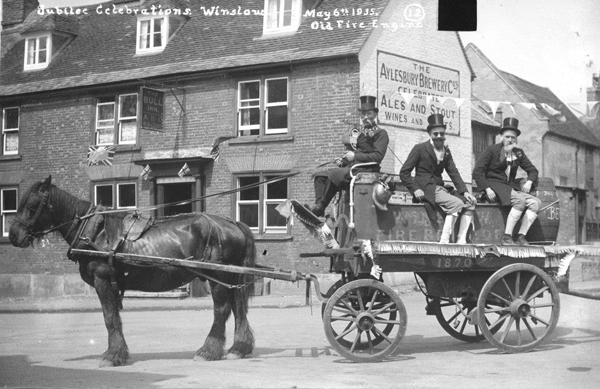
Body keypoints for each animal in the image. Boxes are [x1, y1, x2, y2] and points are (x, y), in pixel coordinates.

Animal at [8, 177, 255, 366]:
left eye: (32, 205)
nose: (13, 235)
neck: (95, 232)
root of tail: (233, 223)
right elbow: (115, 318)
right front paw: (118, 353)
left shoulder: (102, 280)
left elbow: (109, 318)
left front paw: (112, 356)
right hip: (231, 277)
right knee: (238, 308)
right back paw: (238, 348)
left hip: (218, 277)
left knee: (222, 311)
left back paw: (208, 351)